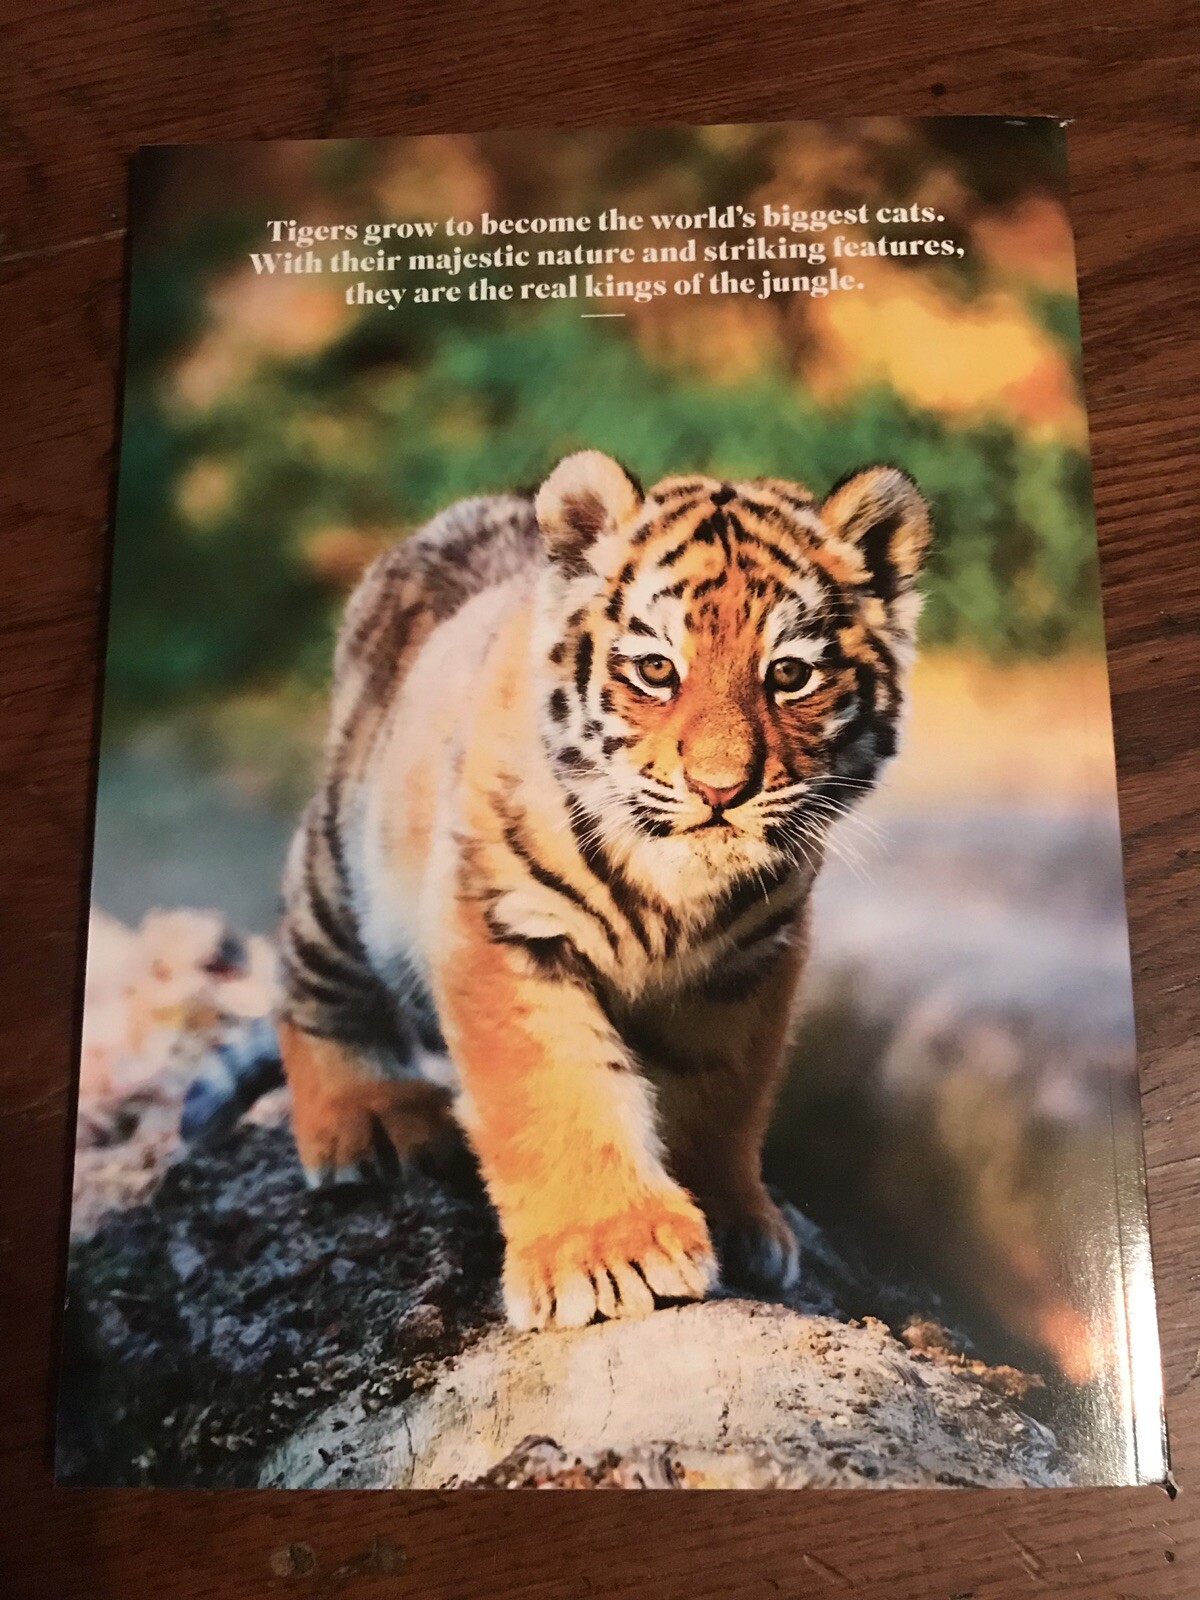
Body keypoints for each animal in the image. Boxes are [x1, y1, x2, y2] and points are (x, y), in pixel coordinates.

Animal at [277, 449, 930, 1330]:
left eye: (790, 675)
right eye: (657, 669)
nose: (721, 789)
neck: (678, 895)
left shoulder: (751, 963)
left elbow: (721, 1097)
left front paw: (736, 1223)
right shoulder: (504, 929)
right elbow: (554, 1090)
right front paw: (607, 1253)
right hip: (342, 868)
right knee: (309, 981)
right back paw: (365, 1118)